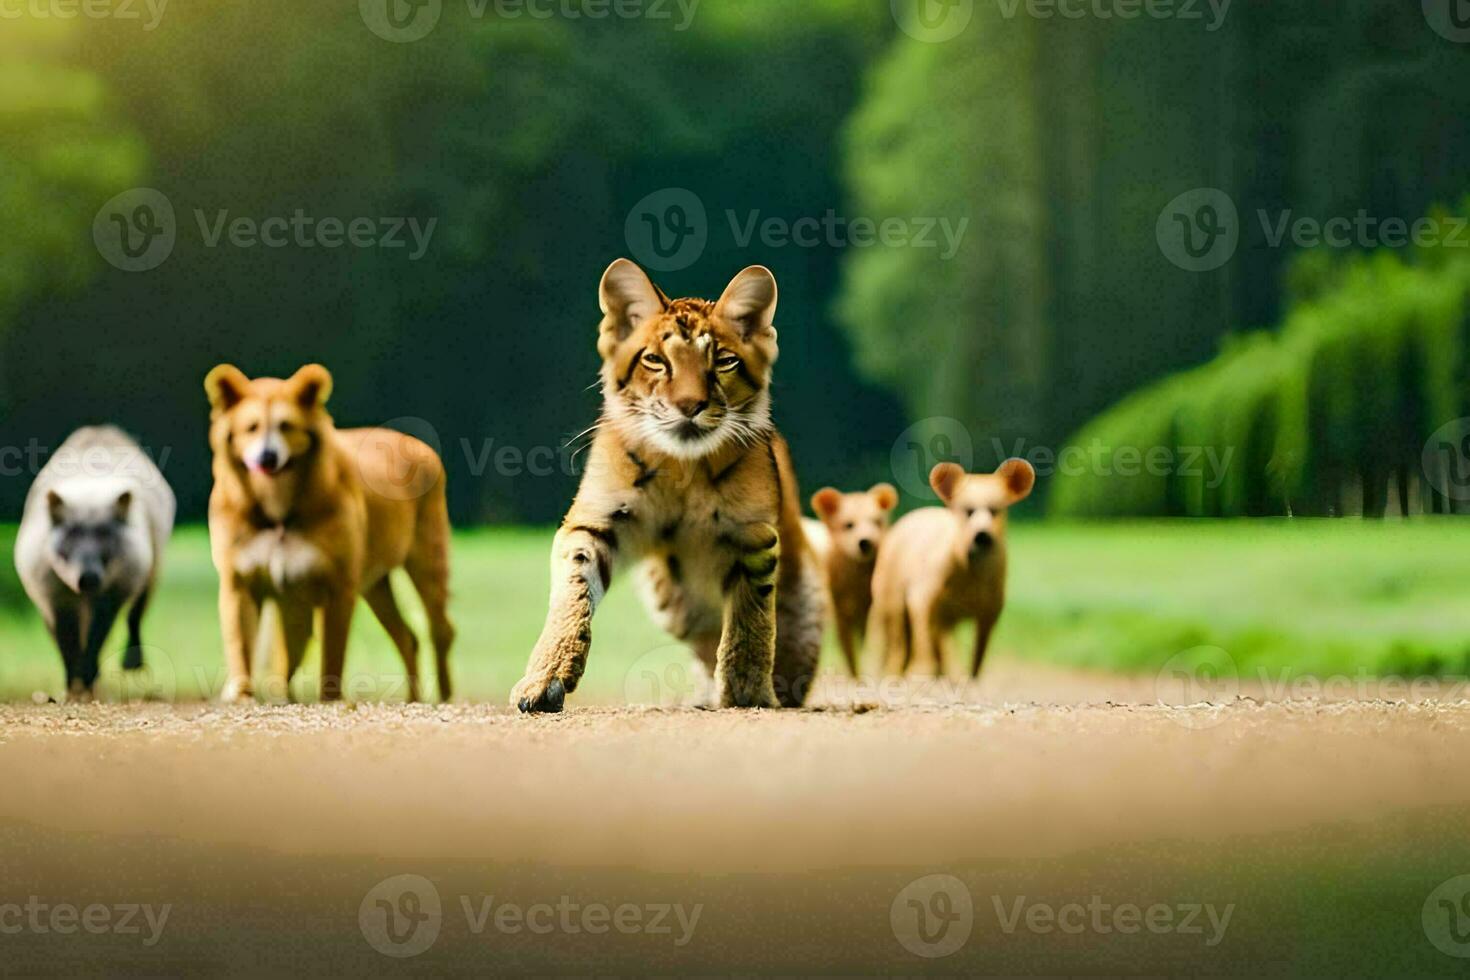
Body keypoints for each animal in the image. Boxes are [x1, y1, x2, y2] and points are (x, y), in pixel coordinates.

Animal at [202, 364, 452, 702]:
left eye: (286, 425)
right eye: (251, 427)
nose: (268, 456)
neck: (278, 509)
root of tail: (420, 447)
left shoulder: (336, 585)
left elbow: (332, 653)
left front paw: (329, 698)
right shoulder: (242, 581)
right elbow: (242, 645)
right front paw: (244, 694)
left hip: (426, 564)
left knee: (441, 630)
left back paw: (444, 695)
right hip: (375, 584)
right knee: (407, 636)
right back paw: (413, 698)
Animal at [805, 481, 893, 675]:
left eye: (876, 521)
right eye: (848, 524)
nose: (866, 542)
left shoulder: (871, 613)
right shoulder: (841, 614)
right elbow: (850, 655)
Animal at [864, 458, 1040, 675]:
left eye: (996, 509)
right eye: (967, 510)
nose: (981, 534)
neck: (971, 577)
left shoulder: (991, 609)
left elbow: (977, 659)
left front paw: (967, 677)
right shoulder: (923, 597)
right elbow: (924, 640)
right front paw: (923, 673)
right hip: (890, 595)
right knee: (898, 642)